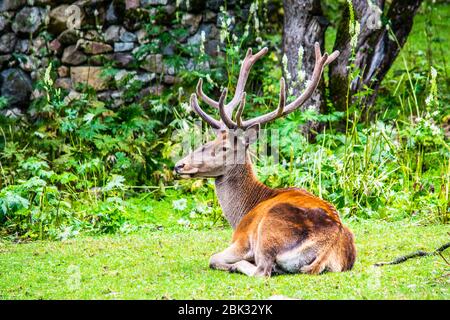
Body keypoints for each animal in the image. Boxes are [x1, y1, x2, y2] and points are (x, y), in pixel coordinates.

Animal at [174, 43, 356, 278]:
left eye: (224, 148)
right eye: (207, 141)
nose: (179, 165)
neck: (241, 213)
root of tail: (331, 241)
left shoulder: (241, 239)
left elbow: (213, 258)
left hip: (268, 231)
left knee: (262, 270)